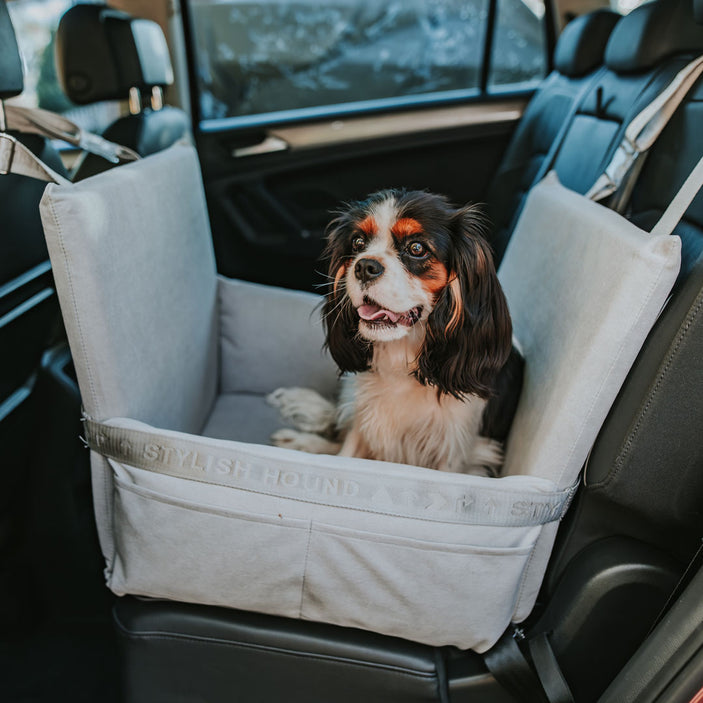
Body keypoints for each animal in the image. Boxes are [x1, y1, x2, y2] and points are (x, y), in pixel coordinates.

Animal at [266, 190, 516, 476]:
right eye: (358, 242)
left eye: (417, 248)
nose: (364, 266)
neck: (403, 358)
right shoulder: (363, 422)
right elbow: (344, 454)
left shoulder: (453, 453)